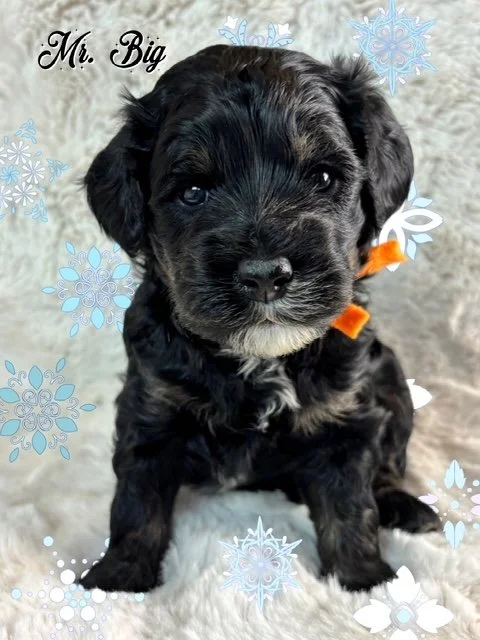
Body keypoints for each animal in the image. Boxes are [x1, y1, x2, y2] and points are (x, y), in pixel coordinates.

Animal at [80, 44, 440, 594]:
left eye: (324, 178)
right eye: (193, 192)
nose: (265, 274)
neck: (259, 360)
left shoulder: (343, 415)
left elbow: (350, 506)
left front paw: (362, 580)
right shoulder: (152, 405)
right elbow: (137, 504)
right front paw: (118, 579)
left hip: (390, 377)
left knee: (388, 463)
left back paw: (405, 507)